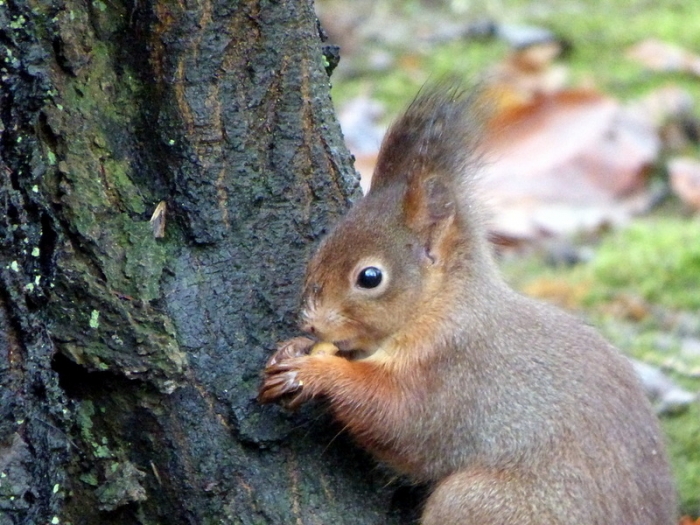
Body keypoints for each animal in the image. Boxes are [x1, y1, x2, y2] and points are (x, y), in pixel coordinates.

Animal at [258, 85, 677, 524]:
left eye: (370, 277)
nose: (311, 324)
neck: (442, 307)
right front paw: (293, 350)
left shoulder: (453, 371)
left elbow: (397, 419)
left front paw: (316, 371)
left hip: (477, 501)